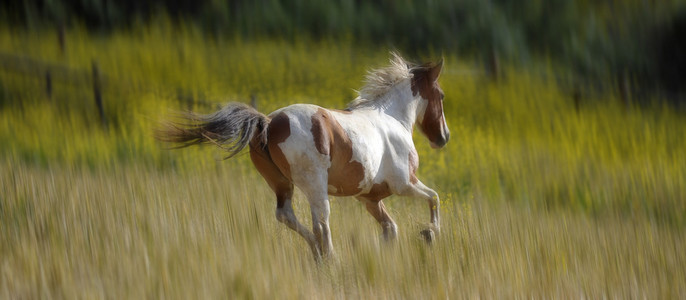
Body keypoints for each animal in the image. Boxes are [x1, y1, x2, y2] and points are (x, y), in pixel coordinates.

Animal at [159, 53, 454, 260]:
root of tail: (268, 122)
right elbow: (435, 198)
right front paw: (430, 234)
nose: (444, 137)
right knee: (321, 222)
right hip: (315, 185)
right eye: (440, 95)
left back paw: (317, 254)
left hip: (281, 184)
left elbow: (390, 229)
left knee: (287, 216)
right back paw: (331, 258)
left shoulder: (369, 198)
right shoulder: (404, 183)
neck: (392, 118)